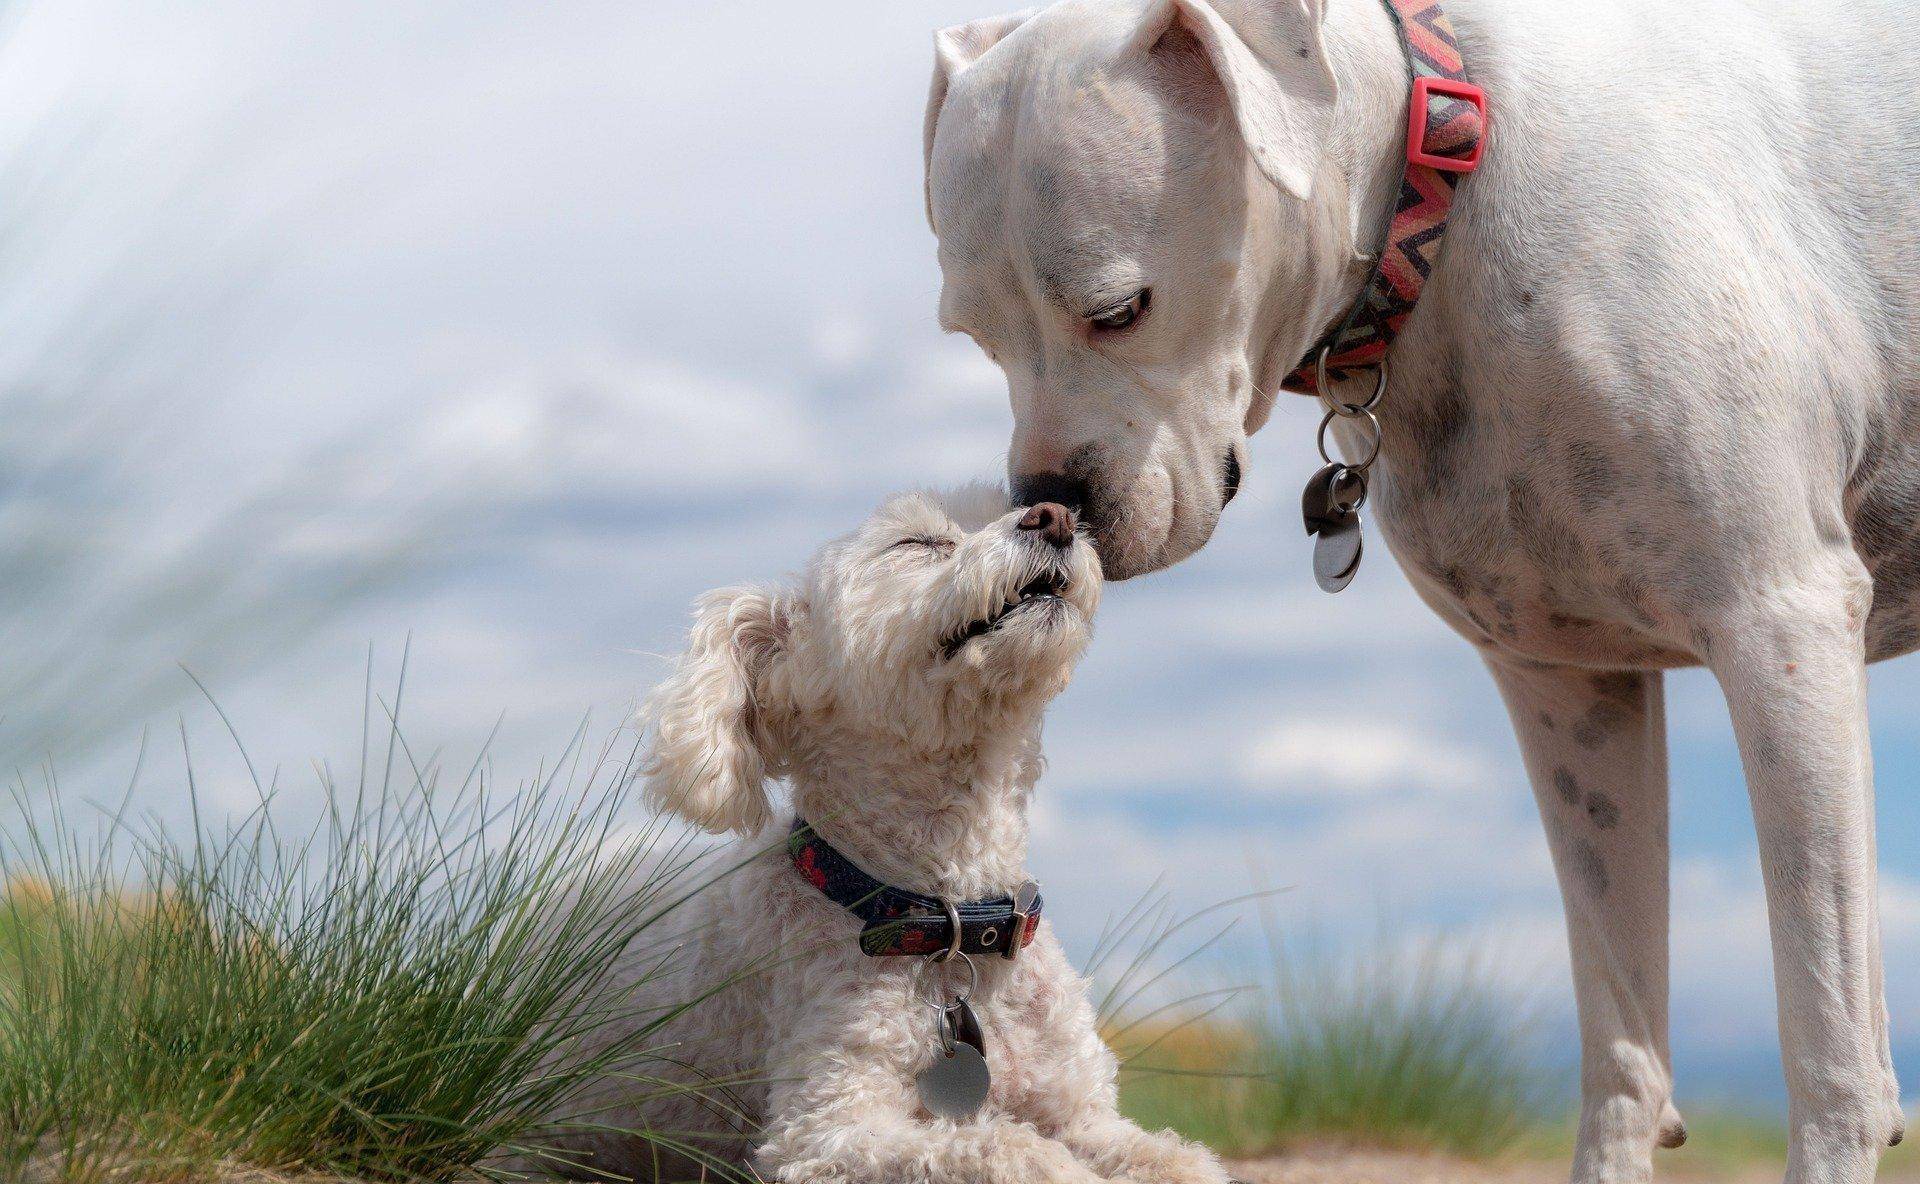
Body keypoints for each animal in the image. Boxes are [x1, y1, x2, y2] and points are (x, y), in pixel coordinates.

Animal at [545, 481, 1228, 1182]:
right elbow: (1005, 1147)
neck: (950, 927)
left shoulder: (1084, 1113)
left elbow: (1179, 1160)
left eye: (1012, 506)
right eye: (917, 543)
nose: (1056, 516)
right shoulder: (827, 1132)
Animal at [921, 2, 1920, 1182]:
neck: (1443, 182)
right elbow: (1622, 1037)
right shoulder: (1570, 688)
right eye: (975, 336)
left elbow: (1828, 1037)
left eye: (1119, 310)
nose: (1047, 505)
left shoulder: (1781, 627)